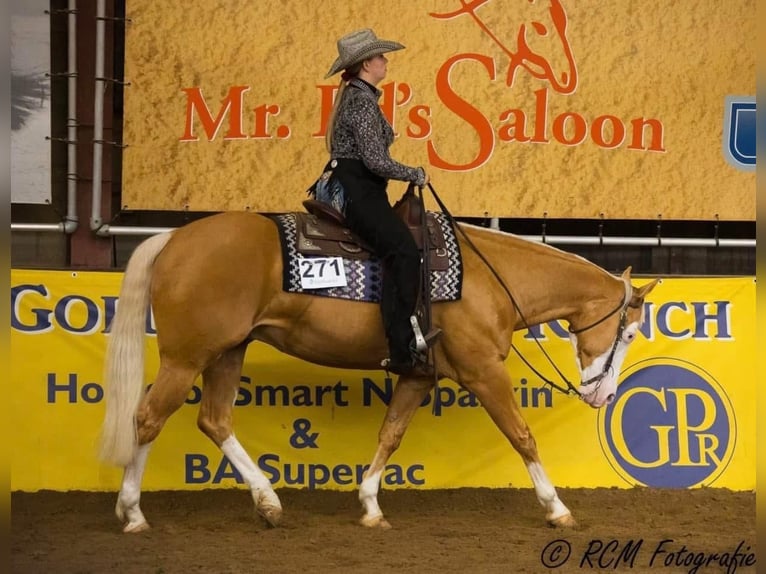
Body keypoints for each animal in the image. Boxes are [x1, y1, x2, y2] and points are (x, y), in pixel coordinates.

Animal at [98, 209, 658, 533]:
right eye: (631, 334)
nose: (603, 395)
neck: (490, 278)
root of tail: (174, 238)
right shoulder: (483, 372)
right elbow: (522, 436)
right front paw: (556, 507)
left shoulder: (418, 375)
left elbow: (390, 434)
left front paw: (370, 506)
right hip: (186, 358)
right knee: (147, 419)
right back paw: (133, 513)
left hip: (228, 351)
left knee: (213, 420)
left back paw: (268, 503)